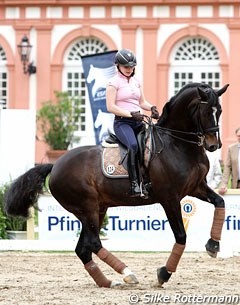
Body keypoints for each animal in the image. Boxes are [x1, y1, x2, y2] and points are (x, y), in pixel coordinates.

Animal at [3, 83, 229, 288]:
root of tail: (56, 165)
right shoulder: (169, 198)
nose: (213, 145)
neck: (177, 144)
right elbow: (181, 236)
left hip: (97, 209)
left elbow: (220, 202)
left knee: (83, 249)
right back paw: (128, 274)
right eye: (205, 111)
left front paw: (213, 245)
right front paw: (164, 274)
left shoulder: (196, 187)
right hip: (87, 207)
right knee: (93, 243)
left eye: (220, 111)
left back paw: (108, 282)